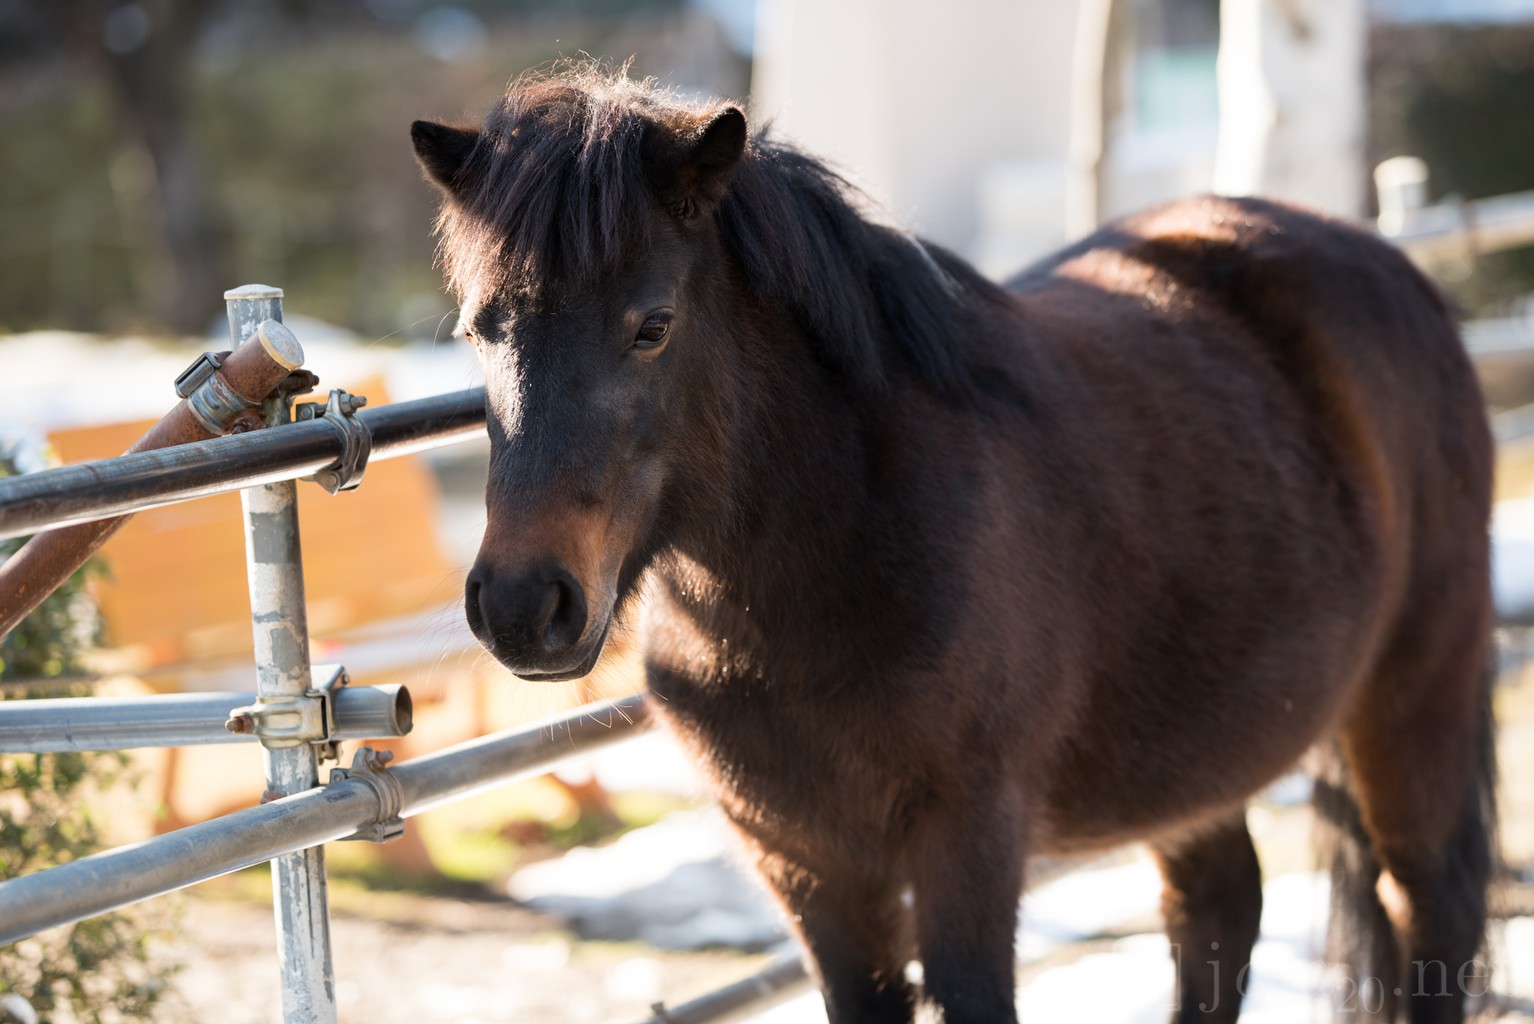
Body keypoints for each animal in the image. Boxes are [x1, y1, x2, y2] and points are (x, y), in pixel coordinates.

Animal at [410, 66, 1497, 1023]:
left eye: (652, 326)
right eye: (477, 330)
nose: (523, 605)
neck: (844, 542)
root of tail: (1391, 267)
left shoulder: (967, 838)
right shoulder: (804, 861)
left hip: (1414, 696)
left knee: (1430, 905)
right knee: (1219, 911)